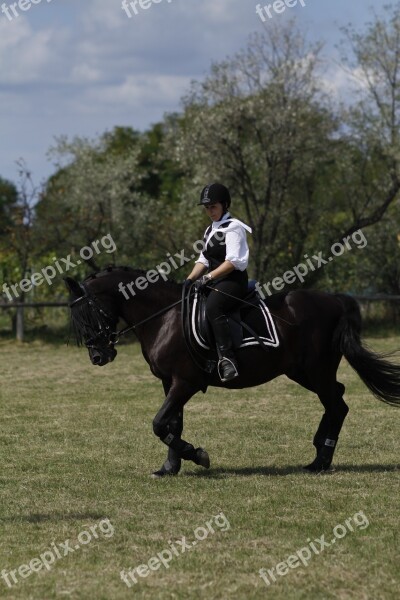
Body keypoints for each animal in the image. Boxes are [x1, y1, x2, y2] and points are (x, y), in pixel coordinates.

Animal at [65, 268, 400, 478]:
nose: (98, 356)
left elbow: (160, 424)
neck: (164, 317)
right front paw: (169, 468)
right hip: (303, 373)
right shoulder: (169, 382)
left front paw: (197, 455)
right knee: (336, 399)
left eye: (88, 312)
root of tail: (334, 298)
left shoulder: (185, 382)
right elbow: (173, 424)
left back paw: (321, 460)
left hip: (316, 371)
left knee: (338, 404)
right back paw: (317, 452)